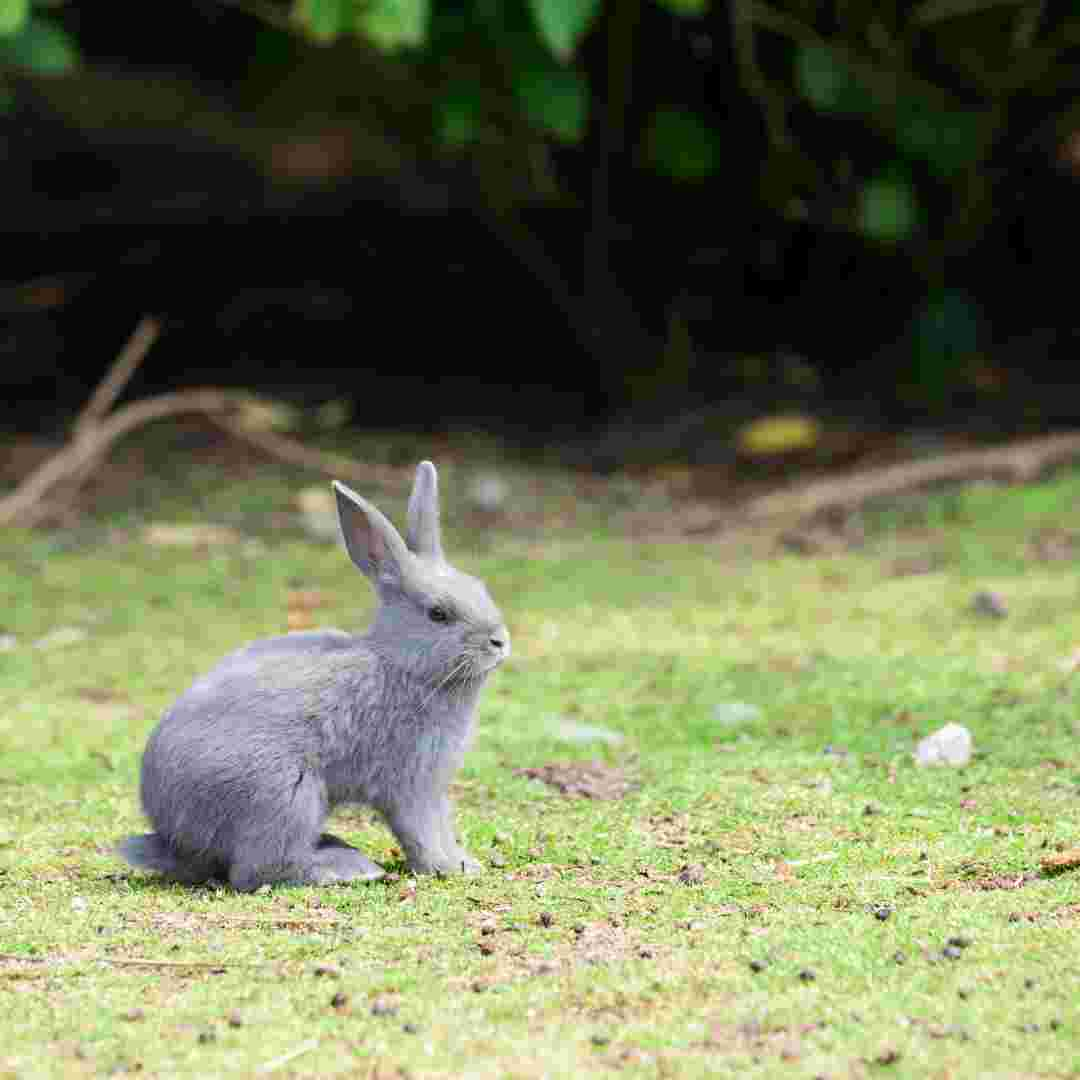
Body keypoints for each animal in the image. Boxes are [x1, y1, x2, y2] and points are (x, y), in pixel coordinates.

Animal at [116, 460, 511, 889]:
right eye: (438, 614)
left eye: (479, 587)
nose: (499, 641)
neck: (401, 663)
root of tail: (174, 840)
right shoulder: (411, 784)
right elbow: (421, 831)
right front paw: (447, 867)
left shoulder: (433, 788)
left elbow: (440, 826)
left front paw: (465, 863)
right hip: (287, 795)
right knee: (259, 870)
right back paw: (345, 868)